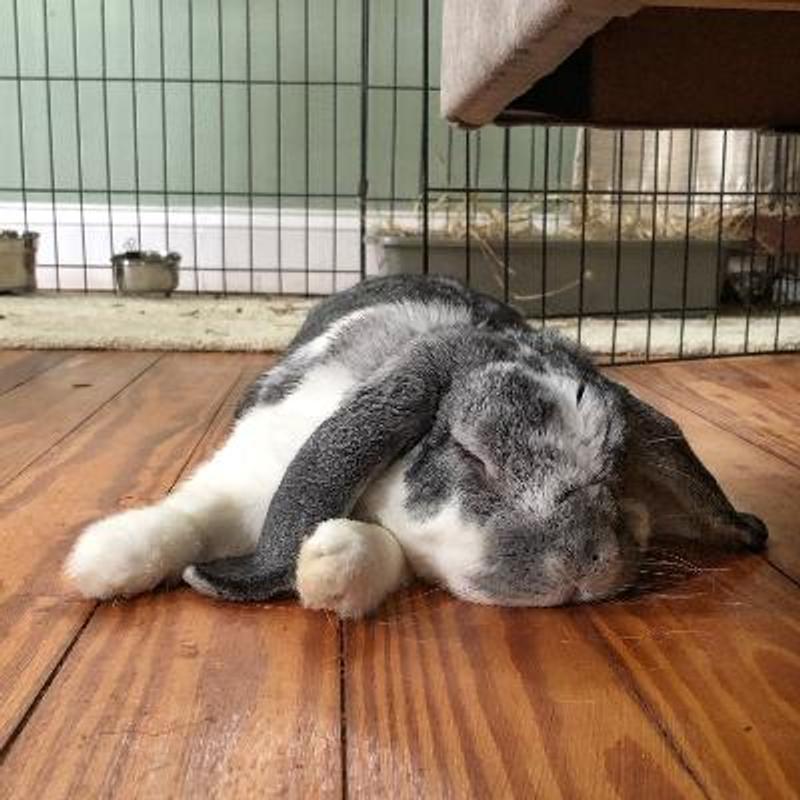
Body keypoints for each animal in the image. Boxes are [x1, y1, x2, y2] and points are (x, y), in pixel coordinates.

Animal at [65, 275, 767, 617]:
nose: (581, 566)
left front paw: (330, 567)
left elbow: (382, 552)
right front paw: (99, 563)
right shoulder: (249, 469)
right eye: (471, 453)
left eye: (615, 471)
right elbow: (186, 517)